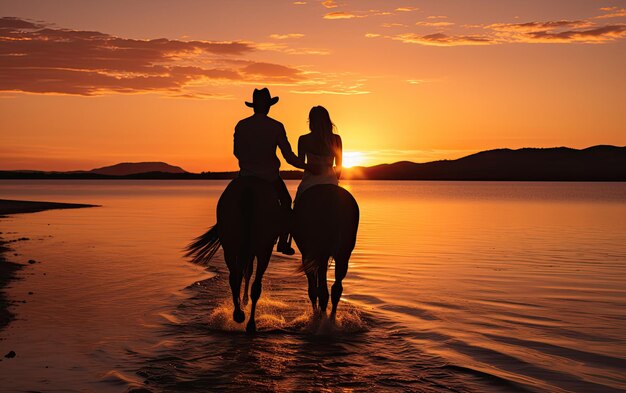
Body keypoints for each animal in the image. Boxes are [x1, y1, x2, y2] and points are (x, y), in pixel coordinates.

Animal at [184, 176, 280, 332]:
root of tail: (249, 188)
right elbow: (248, 273)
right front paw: (245, 302)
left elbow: (244, 272)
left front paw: (243, 302)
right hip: (263, 249)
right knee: (255, 286)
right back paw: (250, 323)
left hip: (230, 246)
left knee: (234, 277)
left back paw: (238, 314)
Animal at [292, 184, 358, 318]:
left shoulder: (307, 256)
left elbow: (313, 289)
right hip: (343, 253)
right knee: (336, 288)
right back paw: (331, 318)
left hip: (321, 253)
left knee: (322, 291)